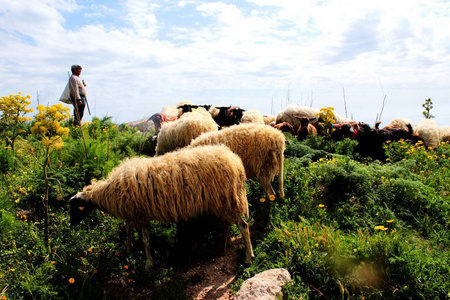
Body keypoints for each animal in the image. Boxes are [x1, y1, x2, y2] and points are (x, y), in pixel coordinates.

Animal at [70, 144, 253, 268]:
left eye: (76, 208)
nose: (71, 225)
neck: (108, 192)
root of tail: (235, 161)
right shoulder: (132, 213)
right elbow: (129, 231)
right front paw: (128, 249)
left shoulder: (141, 215)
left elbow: (145, 240)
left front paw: (148, 264)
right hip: (222, 202)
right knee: (227, 223)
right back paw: (221, 248)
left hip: (226, 201)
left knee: (243, 226)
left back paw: (248, 257)